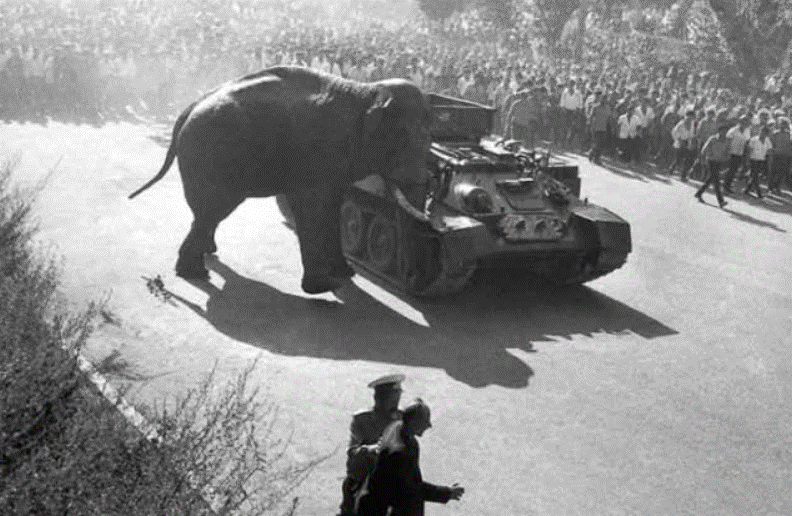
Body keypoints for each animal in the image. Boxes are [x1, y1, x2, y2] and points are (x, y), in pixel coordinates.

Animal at [129, 66, 432, 294]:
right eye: (405, 139)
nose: (411, 276)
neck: (366, 91)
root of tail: (187, 110)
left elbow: (333, 206)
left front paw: (345, 275)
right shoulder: (318, 153)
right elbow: (310, 208)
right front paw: (324, 286)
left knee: (207, 213)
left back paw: (204, 257)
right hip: (211, 157)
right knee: (214, 209)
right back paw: (195, 273)